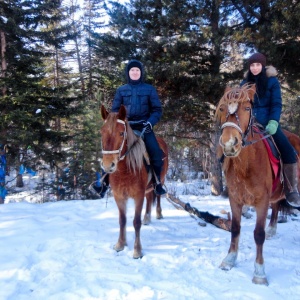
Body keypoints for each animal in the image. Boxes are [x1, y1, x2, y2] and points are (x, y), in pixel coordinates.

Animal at [99, 103, 168, 258]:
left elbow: (136, 222)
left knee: (157, 195)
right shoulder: (119, 196)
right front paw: (120, 244)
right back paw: (147, 217)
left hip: (161, 179)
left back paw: (158, 213)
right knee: (150, 198)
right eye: (101, 133)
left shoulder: (138, 196)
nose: (108, 165)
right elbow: (122, 220)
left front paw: (137, 250)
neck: (125, 170)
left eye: (121, 133)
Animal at [216, 83, 300, 284]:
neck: (247, 164)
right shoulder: (235, 199)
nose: (230, 143)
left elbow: (258, 234)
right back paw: (272, 229)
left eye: (247, 108)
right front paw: (229, 260)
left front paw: (260, 273)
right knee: (276, 206)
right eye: (222, 108)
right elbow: (235, 229)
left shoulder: (261, 201)